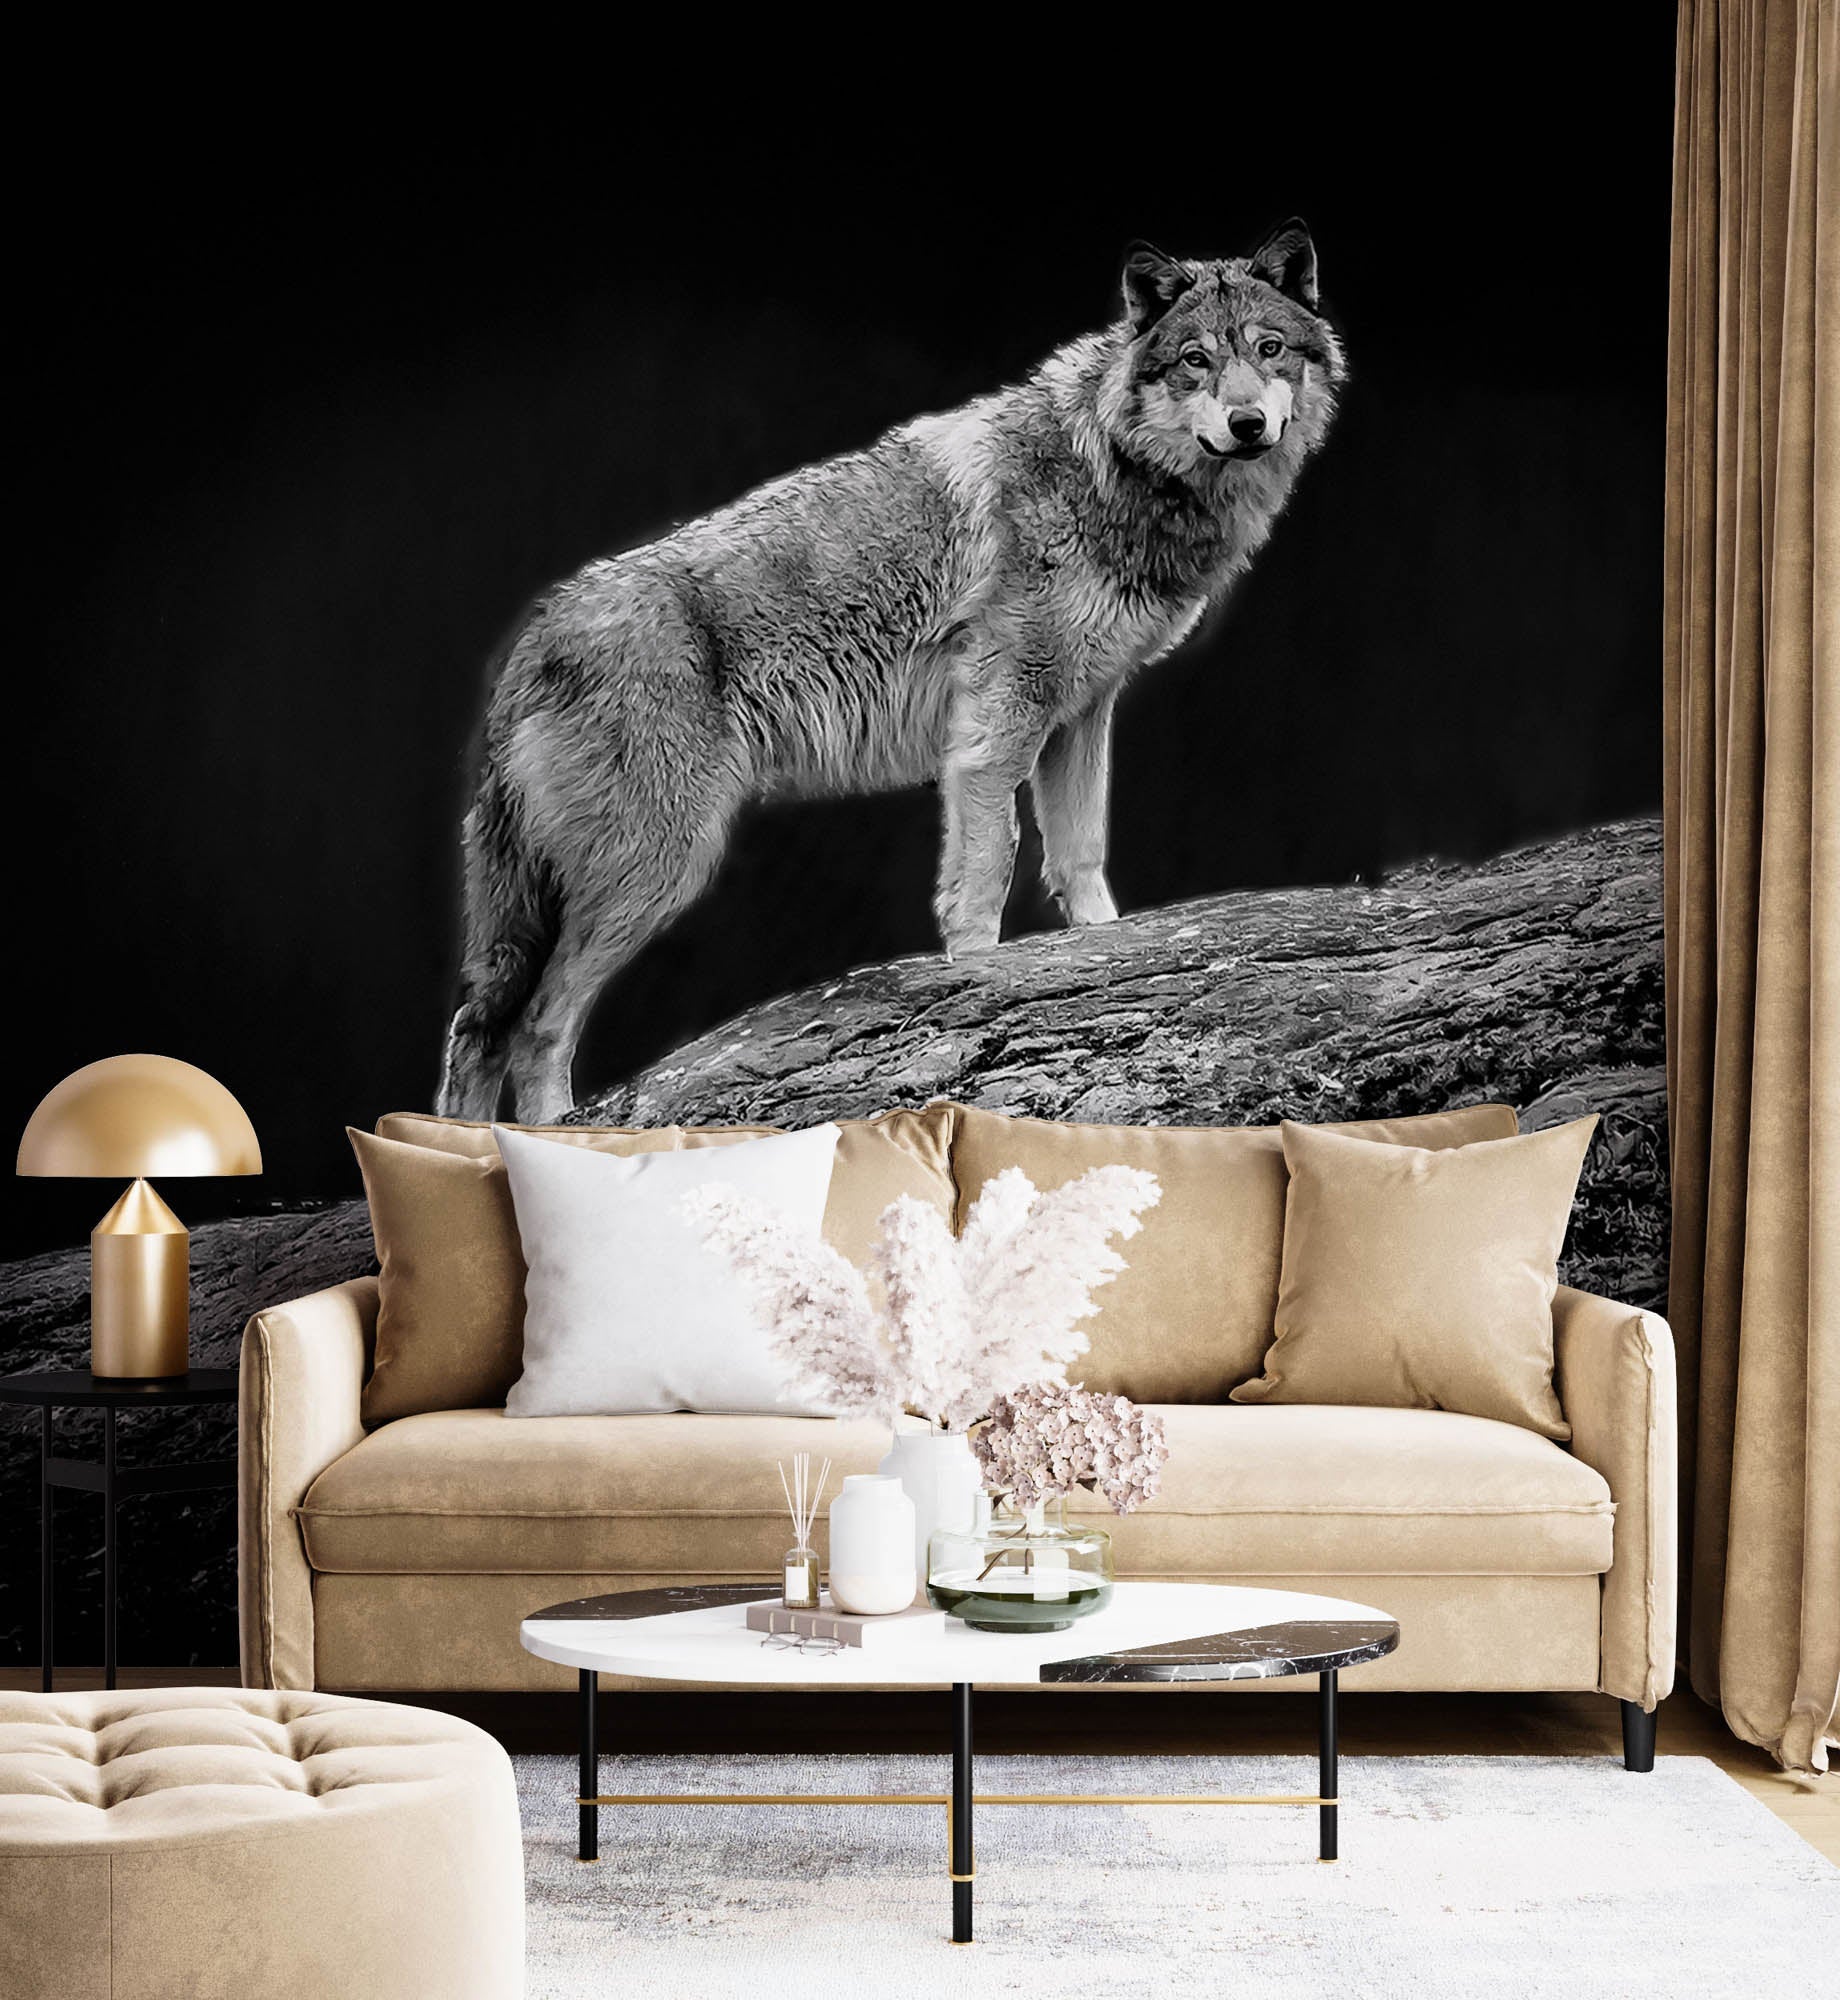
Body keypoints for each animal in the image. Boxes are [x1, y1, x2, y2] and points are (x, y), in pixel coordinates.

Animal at [438, 221, 1345, 1122]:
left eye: (1268, 350)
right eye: (1195, 358)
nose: (1247, 422)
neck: (1111, 468)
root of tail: (533, 638)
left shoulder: (1082, 713)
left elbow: (1082, 855)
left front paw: (1099, 950)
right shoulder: (998, 725)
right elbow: (987, 869)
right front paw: (979, 977)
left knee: (474, 1031)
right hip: (661, 867)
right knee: (532, 1026)